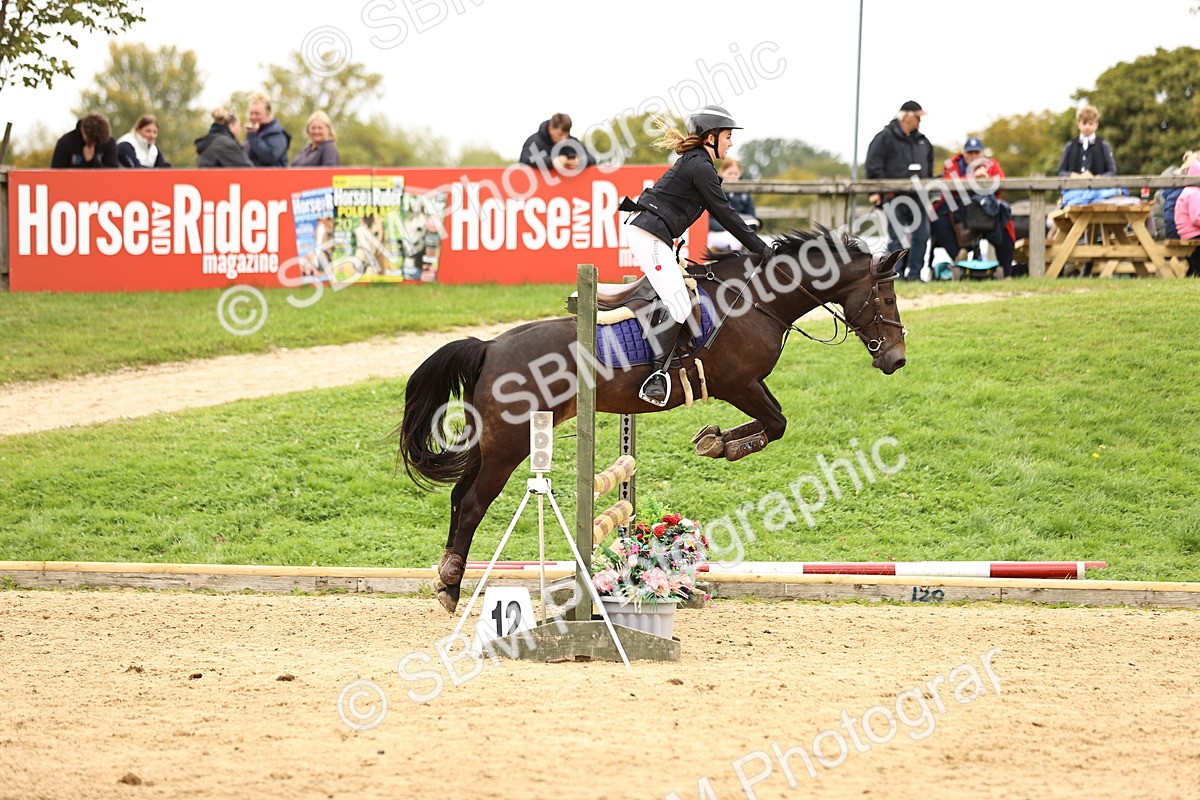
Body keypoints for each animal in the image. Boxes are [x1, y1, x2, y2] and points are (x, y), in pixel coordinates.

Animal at [398, 228, 908, 612]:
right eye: (886, 298)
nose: (897, 360)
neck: (757, 300)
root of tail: (488, 346)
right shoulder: (738, 384)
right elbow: (776, 424)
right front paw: (724, 444)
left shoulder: (749, 385)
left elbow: (776, 422)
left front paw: (714, 440)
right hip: (510, 445)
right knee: (471, 504)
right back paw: (450, 587)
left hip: (492, 444)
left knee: (459, 496)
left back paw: (446, 577)